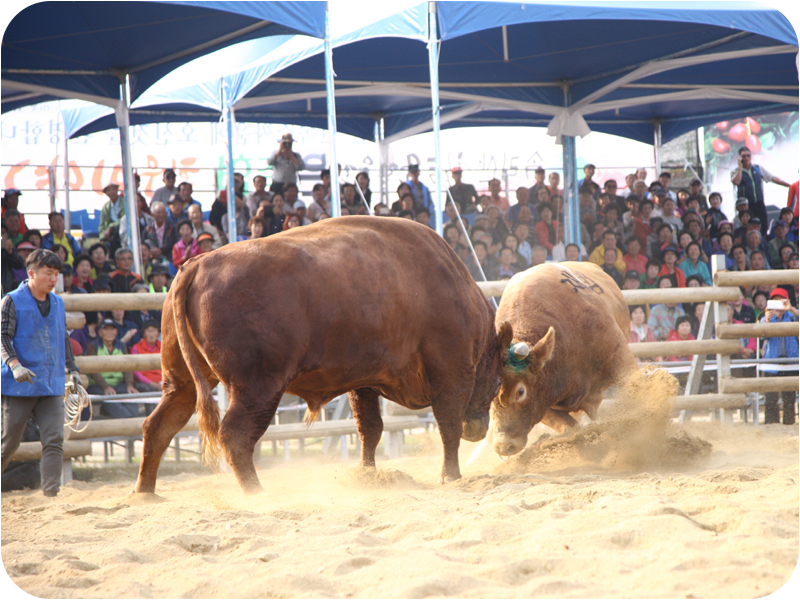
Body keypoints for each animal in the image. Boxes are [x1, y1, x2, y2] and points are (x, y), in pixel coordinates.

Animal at [135, 214, 504, 492]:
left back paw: (145, 492)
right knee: (234, 435)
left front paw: (367, 474)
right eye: (499, 375)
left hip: (182, 382)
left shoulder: (364, 383)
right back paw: (256, 492)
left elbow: (370, 429)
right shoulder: (451, 374)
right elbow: (447, 426)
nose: (478, 428)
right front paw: (451, 476)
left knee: (159, 425)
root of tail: (198, 264)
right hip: (258, 388)